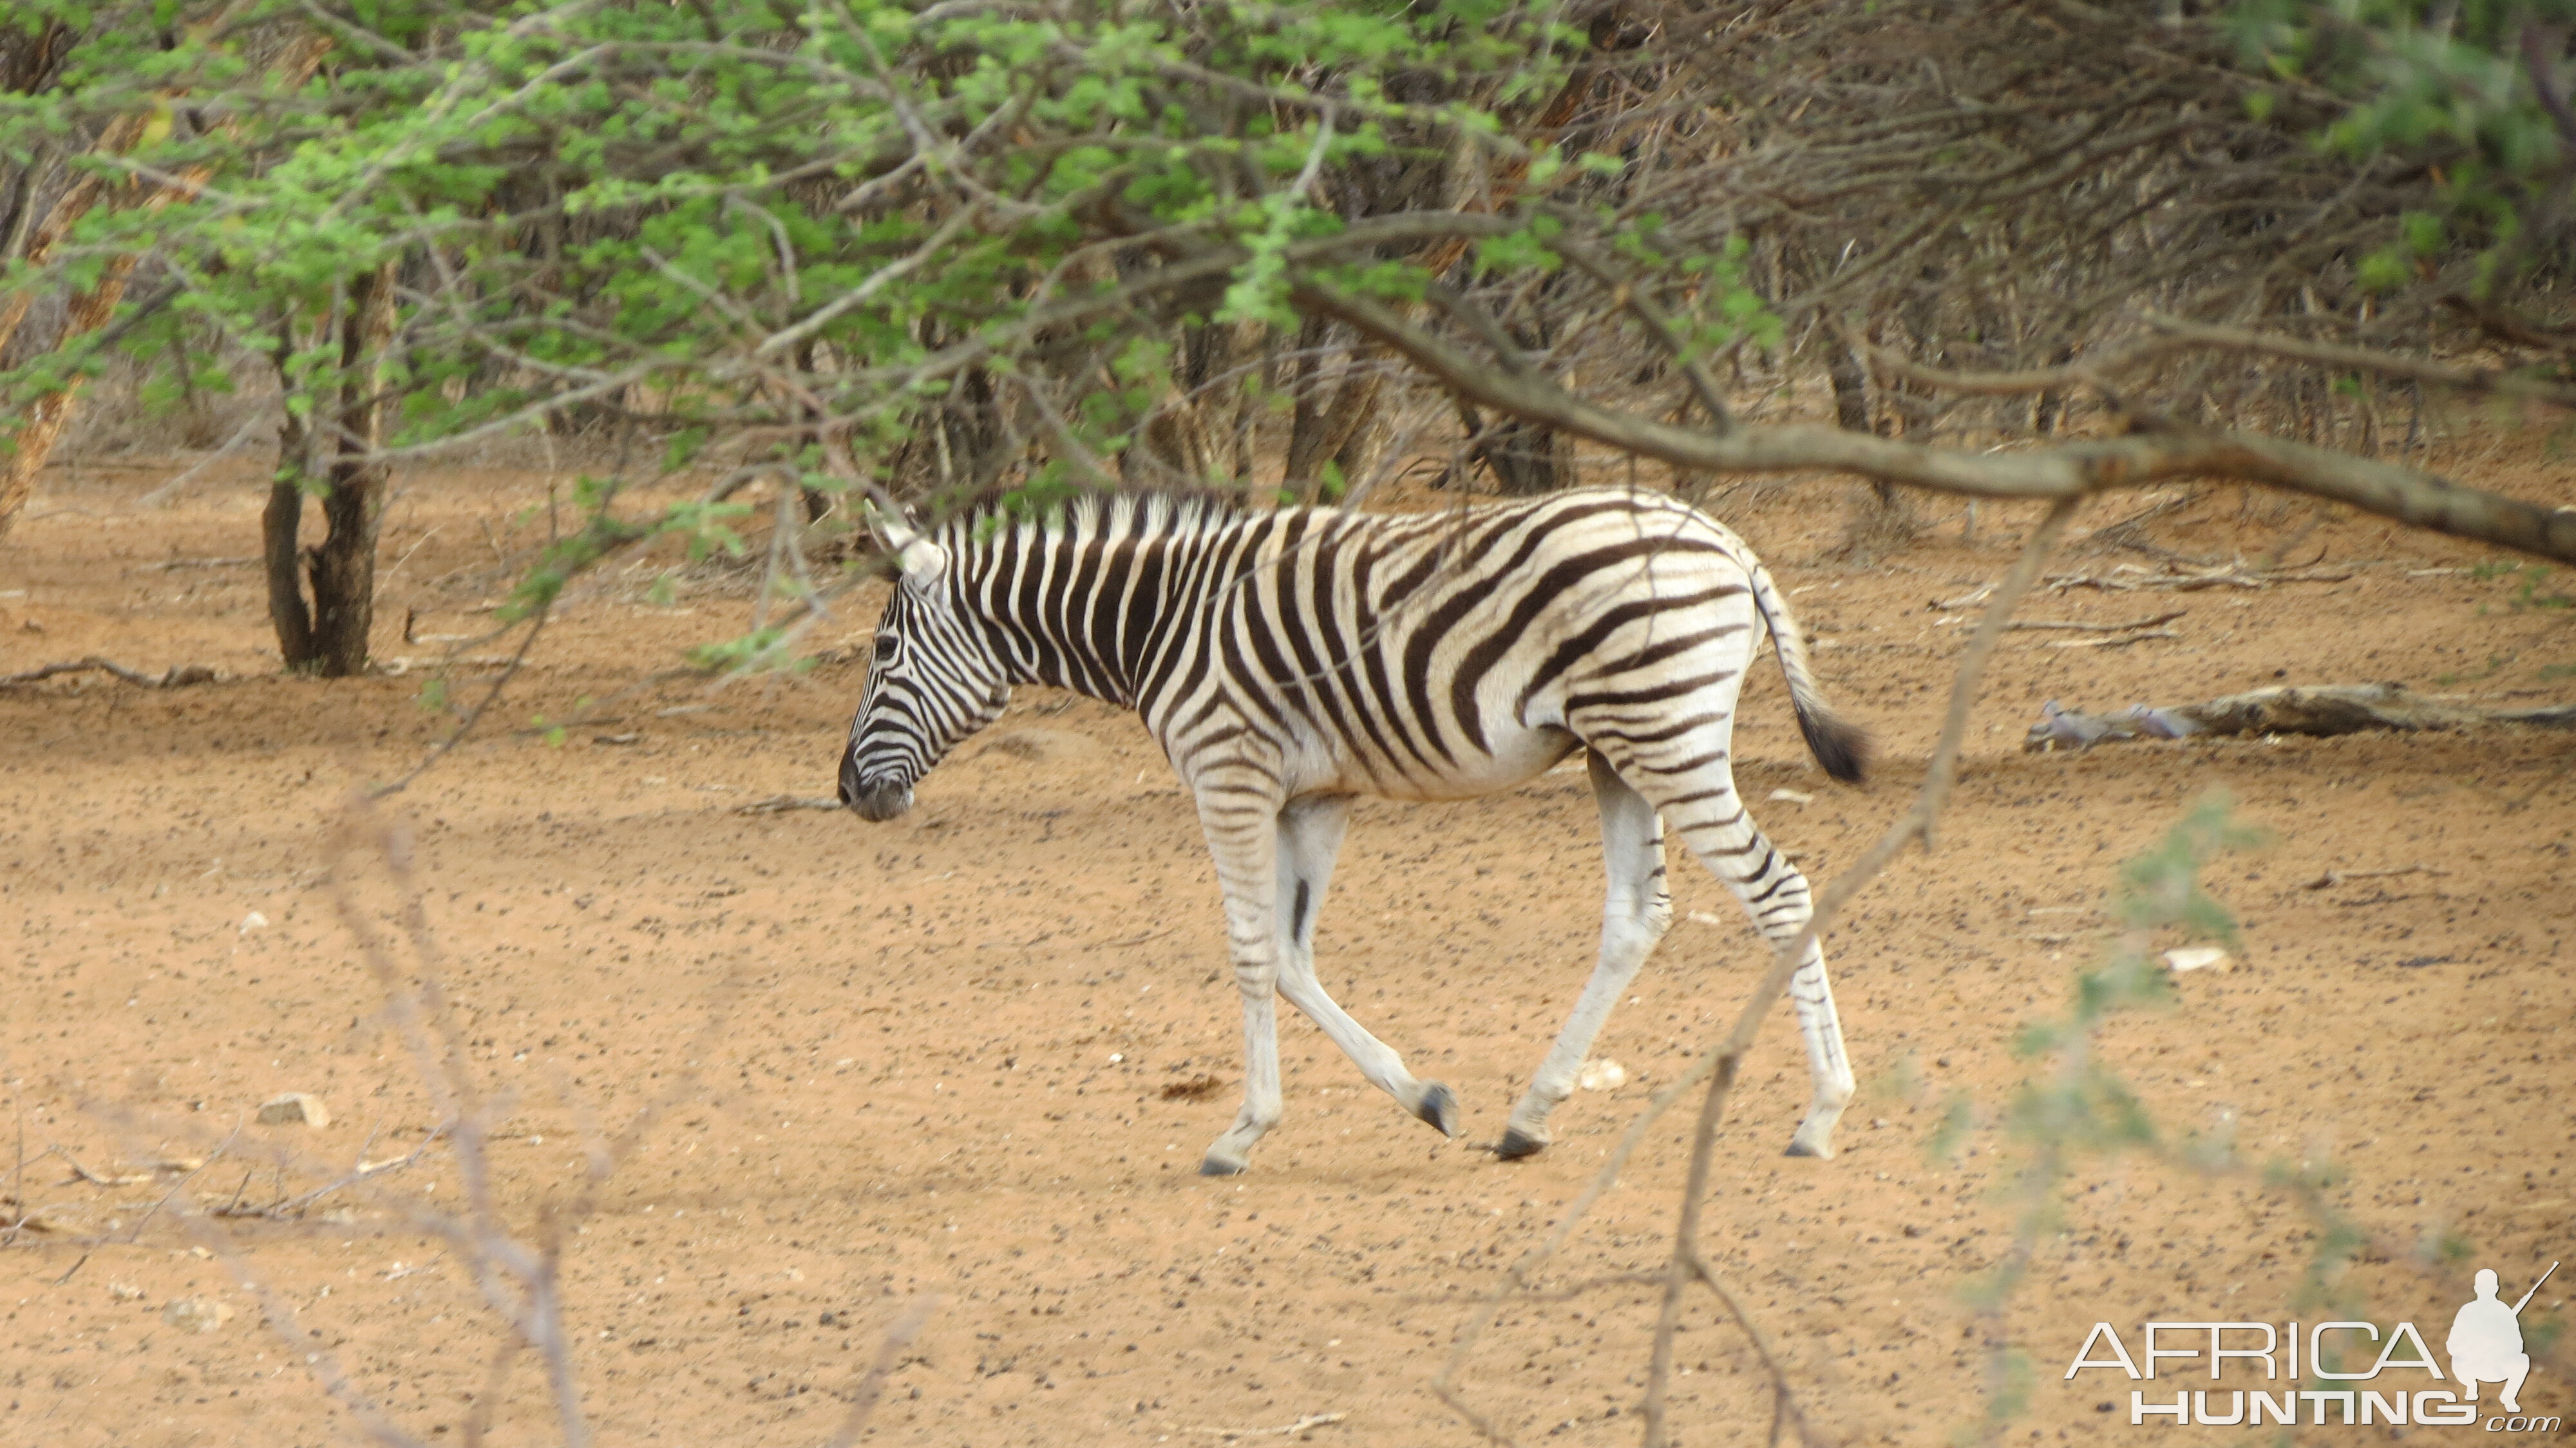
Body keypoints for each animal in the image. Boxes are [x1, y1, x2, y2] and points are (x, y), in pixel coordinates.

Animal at [845, 484, 1875, 1175]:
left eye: (884, 649)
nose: (850, 791)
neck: (1159, 620)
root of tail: (1723, 539)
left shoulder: (1229, 775)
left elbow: (1252, 952)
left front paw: (1242, 1131)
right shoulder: (1315, 795)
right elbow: (1292, 956)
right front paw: (1424, 1097)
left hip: (1665, 736)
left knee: (1778, 889)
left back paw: (1823, 1111)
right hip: (1615, 750)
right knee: (1636, 916)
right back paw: (1531, 1115)